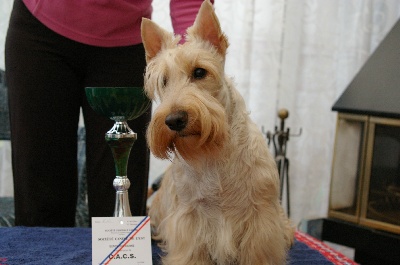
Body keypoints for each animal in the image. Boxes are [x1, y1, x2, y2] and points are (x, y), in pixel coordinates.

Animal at [141, 1, 294, 262]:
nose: (174, 120)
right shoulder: (189, 219)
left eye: (199, 72)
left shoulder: (261, 220)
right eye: (163, 81)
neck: (212, 151)